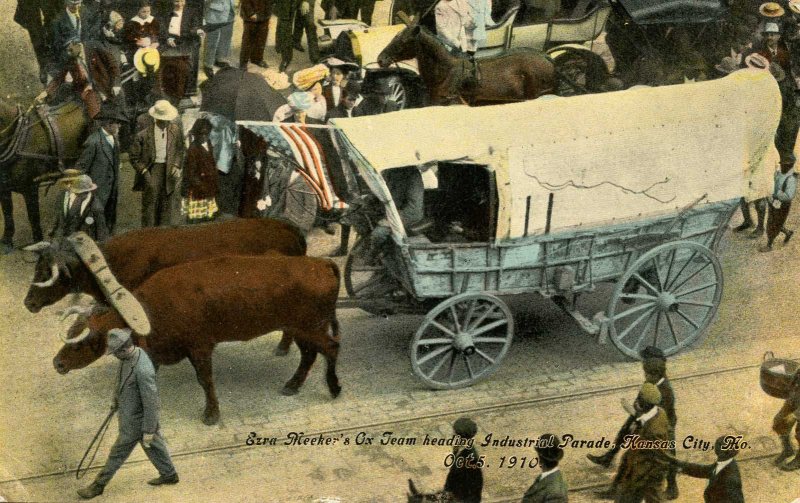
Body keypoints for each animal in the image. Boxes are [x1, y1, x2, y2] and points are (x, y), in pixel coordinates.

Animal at [0, 101, 89, 254]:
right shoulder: (4, 188)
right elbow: (8, 213)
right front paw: (6, 241)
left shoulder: (30, 188)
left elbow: (33, 216)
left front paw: (38, 242)